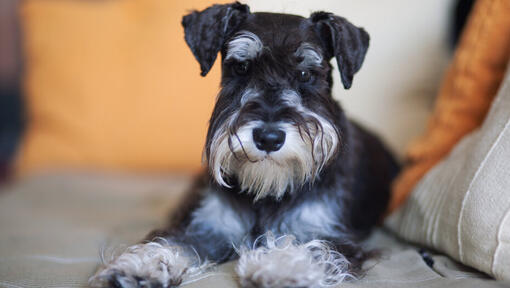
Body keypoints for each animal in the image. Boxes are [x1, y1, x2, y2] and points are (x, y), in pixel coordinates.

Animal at [89, 2, 400, 288]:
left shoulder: (331, 234)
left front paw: (280, 266)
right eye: (241, 67)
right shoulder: (208, 226)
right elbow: (175, 241)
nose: (269, 138)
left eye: (305, 74)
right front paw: (143, 265)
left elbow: (314, 249)